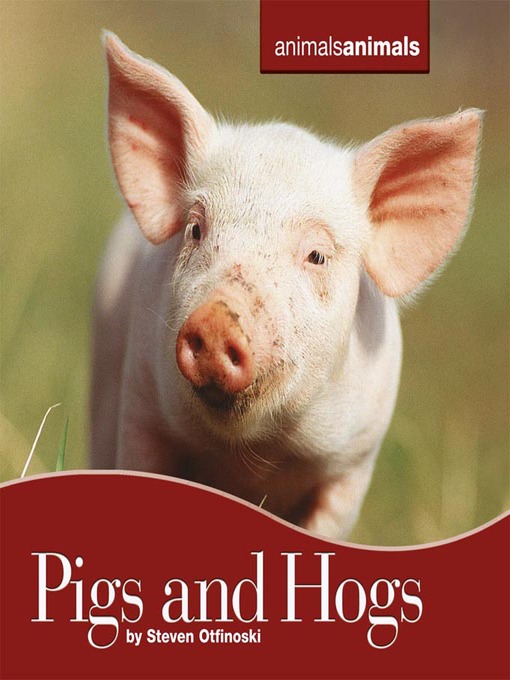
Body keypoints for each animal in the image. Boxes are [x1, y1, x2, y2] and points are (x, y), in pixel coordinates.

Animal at [90, 32, 483, 539]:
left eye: (316, 255)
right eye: (196, 229)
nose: (218, 317)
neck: (253, 454)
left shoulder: (355, 461)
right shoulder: (141, 408)